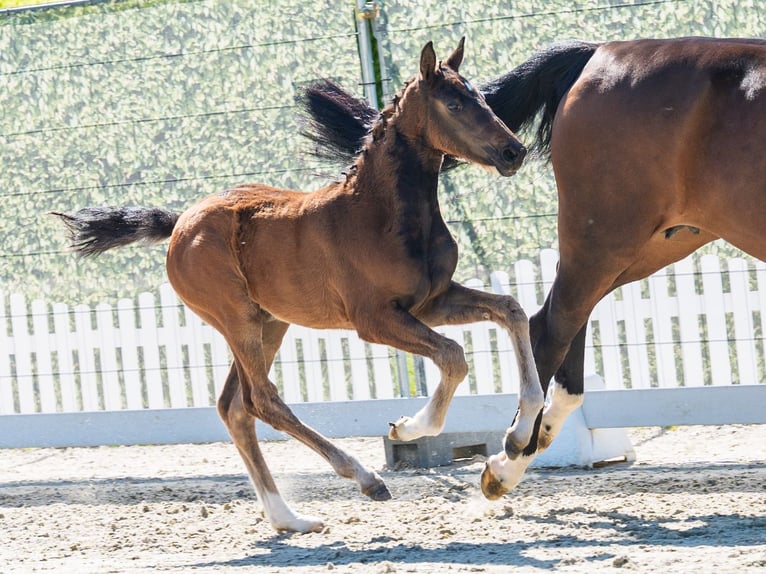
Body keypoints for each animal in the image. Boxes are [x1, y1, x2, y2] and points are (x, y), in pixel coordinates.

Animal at [52, 38, 537, 533]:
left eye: (483, 97)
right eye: (454, 104)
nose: (513, 151)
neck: (381, 214)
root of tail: (180, 223)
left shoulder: (430, 302)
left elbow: (511, 310)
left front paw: (517, 438)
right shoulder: (375, 319)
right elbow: (453, 356)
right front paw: (408, 428)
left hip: (270, 323)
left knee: (234, 407)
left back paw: (289, 518)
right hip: (237, 319)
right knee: (262, 400)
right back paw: (364, 480)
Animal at [299, 36, 766, 499]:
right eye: (454, 104)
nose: (514, 151)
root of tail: (598, 52)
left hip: (652, 242)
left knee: (556, 318)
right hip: (609, 237)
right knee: (556, 322)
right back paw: (510, 457)